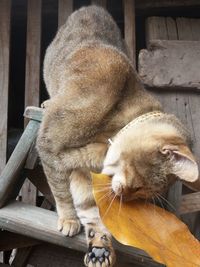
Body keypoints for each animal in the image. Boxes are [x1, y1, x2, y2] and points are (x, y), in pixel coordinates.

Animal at [37, 5, 198, 266]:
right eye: (140, 186)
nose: (124, 197)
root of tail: (92, 8)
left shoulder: (80, 172)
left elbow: (91, 212)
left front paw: (100, 247)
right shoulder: (49, 146)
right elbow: (61, 192)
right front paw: (69, 219)